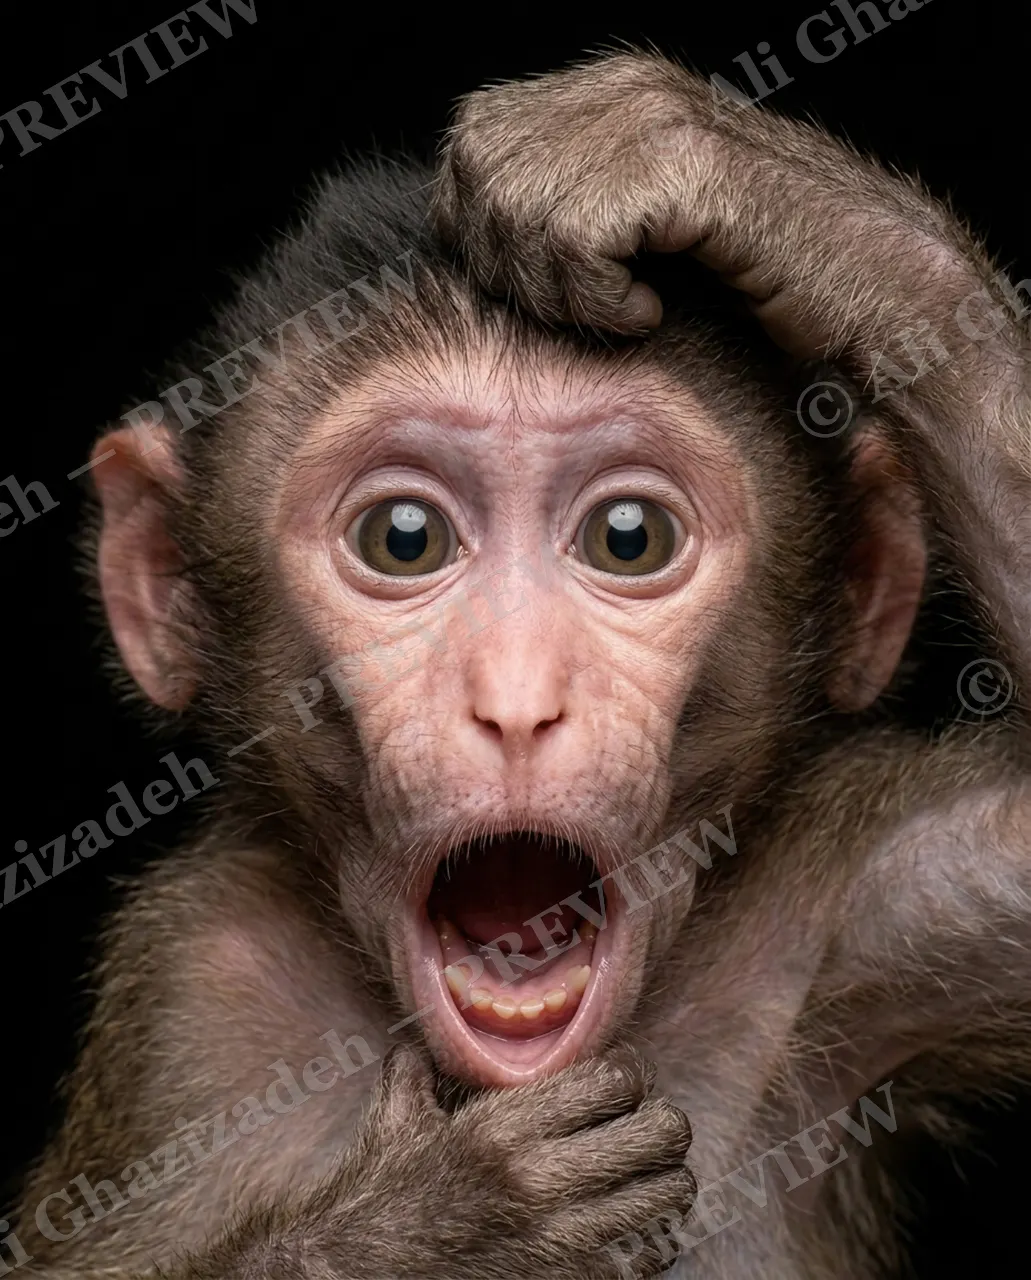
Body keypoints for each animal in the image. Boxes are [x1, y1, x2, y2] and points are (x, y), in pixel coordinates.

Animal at [9, 45, 1031, 1280]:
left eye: (628, 537)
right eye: (402, 538)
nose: (514, 702)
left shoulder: (859, 901)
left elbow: (1013, 858)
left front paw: (686, 158)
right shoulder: (191, 990)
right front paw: (445, 1220)